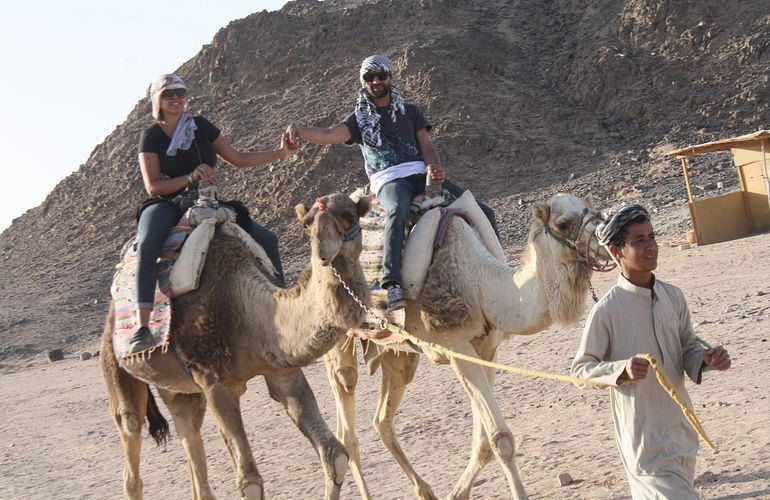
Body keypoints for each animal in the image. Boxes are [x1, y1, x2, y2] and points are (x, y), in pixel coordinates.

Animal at [100, 192, 370, 500]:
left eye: (350, 215)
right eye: (307, 223)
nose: (325, 253)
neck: (244, 306)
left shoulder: (283, 371)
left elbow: (334, 454)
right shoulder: (216, 384)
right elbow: (250, 482)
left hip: (182, 390)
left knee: (189, 434)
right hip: (117, 363)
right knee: (131, 439)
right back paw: (139, 339)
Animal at [320, 194, 608, 500]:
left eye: (593, 209)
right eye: (562, 223)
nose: (607, 241)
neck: (480, 284)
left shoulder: (487, 350)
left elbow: (483, 442)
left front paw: (457, 493)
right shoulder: (457, 347)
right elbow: (500, 439)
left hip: (398, 356)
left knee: (381, 419)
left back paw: (425, 490)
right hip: (338, 336)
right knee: (347, 425)